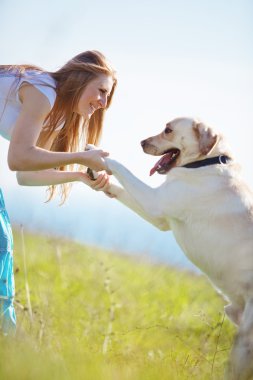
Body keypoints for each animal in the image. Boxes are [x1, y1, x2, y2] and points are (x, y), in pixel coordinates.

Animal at [89, 117, 253, 378]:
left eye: (168, 130)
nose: (141, 142)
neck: (205, 163)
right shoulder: (158, 216)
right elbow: (119, 188)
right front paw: (98, 180)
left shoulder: (154, 202)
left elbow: (122, 168)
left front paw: (97, 153)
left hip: (244, 342)